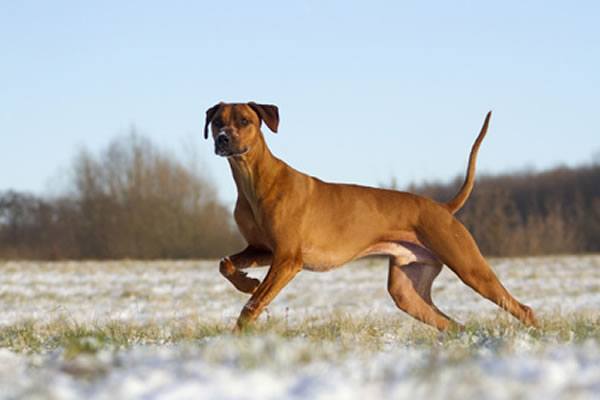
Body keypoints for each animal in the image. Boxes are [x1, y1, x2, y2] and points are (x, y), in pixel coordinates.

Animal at [204, 101, 536, 330]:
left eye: (244, 120)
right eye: (217, 122)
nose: (222, 139)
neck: (254, 181)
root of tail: (442, 208)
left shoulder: (287, 258)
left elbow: (252, 306)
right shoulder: (262, 249)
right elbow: (225, 264)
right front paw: (246, 282)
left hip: (470, 268)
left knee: (522, 308)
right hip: (407, 292)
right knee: (452, 325)